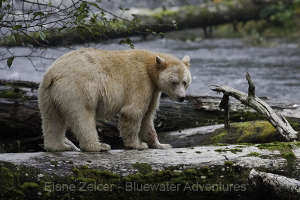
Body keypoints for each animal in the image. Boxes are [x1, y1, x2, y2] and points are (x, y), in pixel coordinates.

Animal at [38, 48, 192, 152]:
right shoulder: (140, 81)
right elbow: (133, 112)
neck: (150, 67)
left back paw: (58, 146)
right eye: (174, 82)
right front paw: (137, 144)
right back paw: (98, 146)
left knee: (52, 119)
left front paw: (161, 144)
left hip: (48, 94)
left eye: (185, 82)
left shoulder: (153, 91)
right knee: (83, 116)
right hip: (78, 89)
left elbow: (148, 117)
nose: (182, 97)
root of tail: (53, 74)